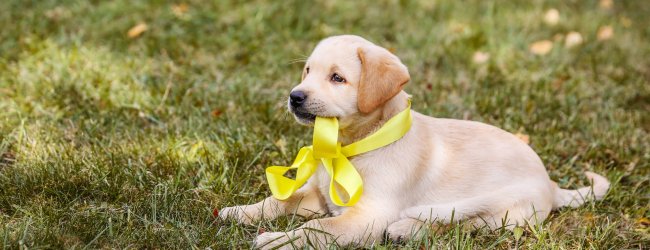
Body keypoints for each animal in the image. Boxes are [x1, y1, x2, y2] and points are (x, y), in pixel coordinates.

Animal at [219, 34, 608, 248]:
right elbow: (281, 200)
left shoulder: (366, 217)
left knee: (465, 225)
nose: (294, 96)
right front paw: (242, 212)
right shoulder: (319, 196)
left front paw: (277, 240)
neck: (354, 147)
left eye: (337, 78)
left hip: (505, 212)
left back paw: (406, 229)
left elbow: (316, 229)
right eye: (307, 71)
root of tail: (551, 185)